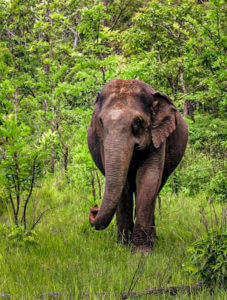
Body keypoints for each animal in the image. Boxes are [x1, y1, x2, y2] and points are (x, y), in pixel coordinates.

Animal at [87, 78, 188, 252]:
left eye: (138, 121)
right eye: (100, 122)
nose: (94, 208)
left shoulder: (158, 136)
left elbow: (148, 178)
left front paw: (142, 252)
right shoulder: (102, 143)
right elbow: (124, 185)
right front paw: (123, 247)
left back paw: (154, 239)